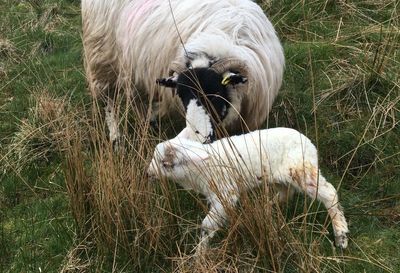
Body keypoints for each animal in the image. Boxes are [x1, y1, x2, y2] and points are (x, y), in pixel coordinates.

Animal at [81, 0, 284, 143]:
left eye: (214, 94)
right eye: (181, 94)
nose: (198, 138)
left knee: (137, 97)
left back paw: (149, 122)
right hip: (102, 54)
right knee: (109, 98)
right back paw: (116, 137)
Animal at [148, 127, 350, 253]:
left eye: (165, 163)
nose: (148, 173)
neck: (202, 168)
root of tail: (309, 144)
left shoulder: (225, 194)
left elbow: (207, 225)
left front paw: (199, 254)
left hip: (302, 170)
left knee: (329, 193)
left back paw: (341, 235)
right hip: (278, 176)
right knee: (286, 193)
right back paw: (266, 207)